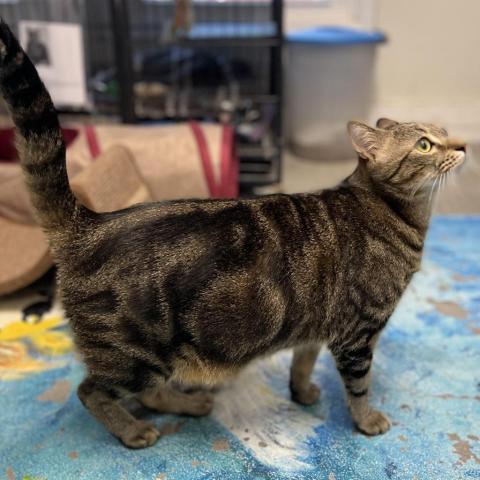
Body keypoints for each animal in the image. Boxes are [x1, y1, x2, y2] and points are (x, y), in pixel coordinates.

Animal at [0, 20, 464, 448]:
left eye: (444, 133)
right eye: (425, 144)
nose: (462, 146)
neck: (397, 212)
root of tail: (88, 222)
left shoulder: (318, 325)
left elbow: (302, 362)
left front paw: (302, 393)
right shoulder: (357, 335)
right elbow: (359, 388)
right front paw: (367, 422)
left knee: (148, 393)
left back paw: (189, 404)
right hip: (134, 356)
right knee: (91, 391)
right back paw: (133, 431)